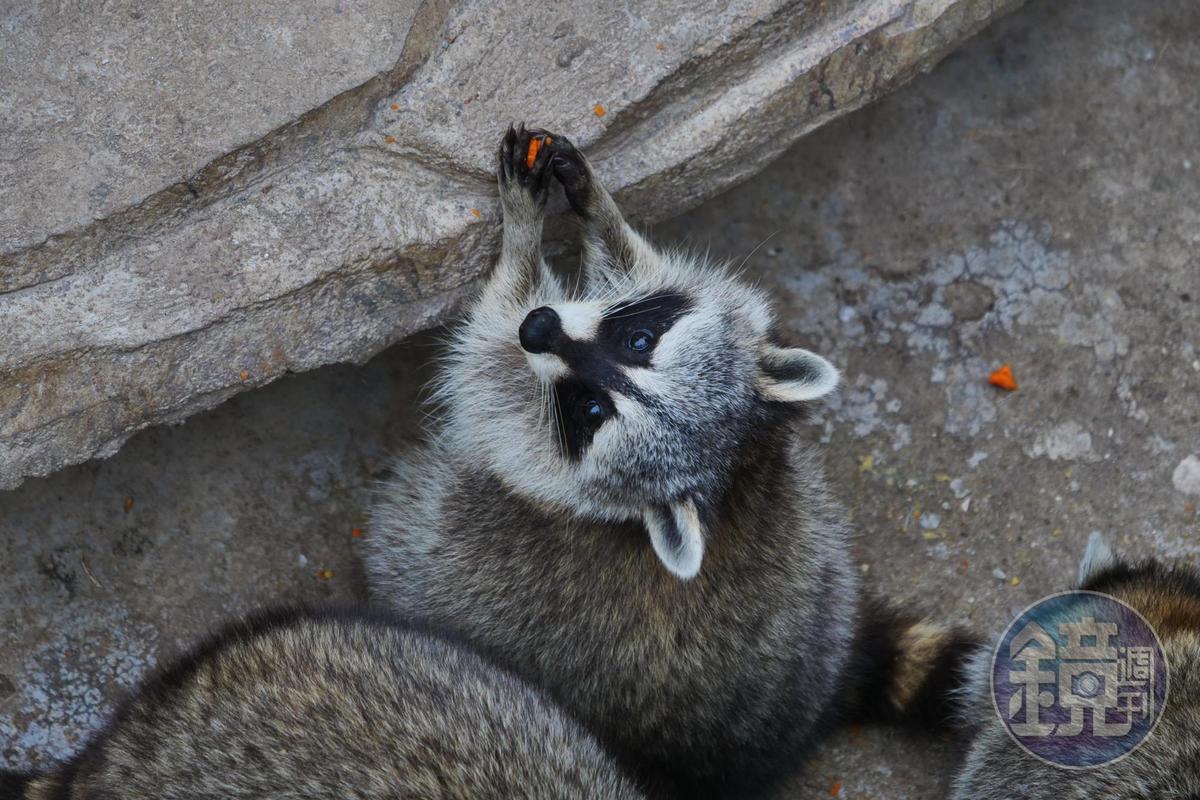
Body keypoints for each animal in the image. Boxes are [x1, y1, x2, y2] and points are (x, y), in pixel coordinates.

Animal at [364, 122, 974, 796]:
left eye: (592, 409)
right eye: (639, 341)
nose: (540, 329)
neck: (731, 475)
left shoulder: (522, 431)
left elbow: (487, 348)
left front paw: (524, 237)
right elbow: (633, 269)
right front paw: (596, 207)